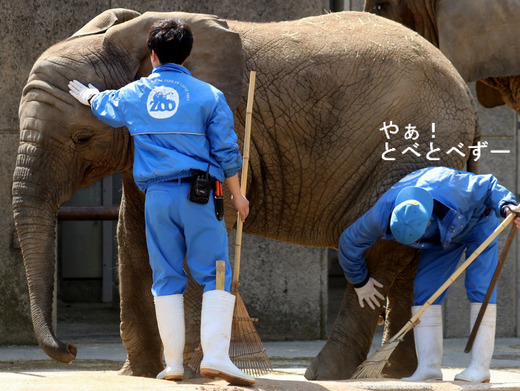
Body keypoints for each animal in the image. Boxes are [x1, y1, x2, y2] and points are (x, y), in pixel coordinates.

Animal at [14, 9, 482, 382]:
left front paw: (192, 372)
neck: (129, 38)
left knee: (380, 247)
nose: (70, 351)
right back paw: (395, 373)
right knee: (410, 256)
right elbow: (132, 238)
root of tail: (467, 96)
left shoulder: (230, 123)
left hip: (409, 152)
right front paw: (141, 375)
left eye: (81, 137)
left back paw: (326, 373)